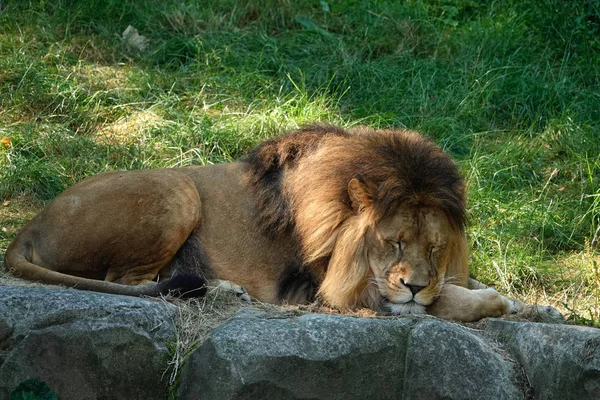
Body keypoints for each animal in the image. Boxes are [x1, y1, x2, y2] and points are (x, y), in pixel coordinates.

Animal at [3, 124, 556, 322]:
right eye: (394, 243)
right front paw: (494, 303)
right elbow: (444, 299)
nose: (415, 283)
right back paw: (221, 290)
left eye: (436, 247)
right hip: (176, 189)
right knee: (134, 283)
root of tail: (28, 226)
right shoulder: (331, 291)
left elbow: (458, 284)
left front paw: (539, 309)